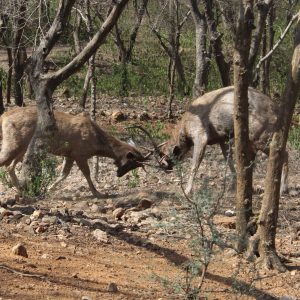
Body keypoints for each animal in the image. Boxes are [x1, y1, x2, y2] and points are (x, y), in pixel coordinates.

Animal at [0, 106, 150, 198]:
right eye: (131, 163)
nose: (119, 174)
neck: (97, 145)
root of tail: (3, 117)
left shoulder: (69, 154)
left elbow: (64, 174)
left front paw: (49, 189)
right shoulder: (80, 154)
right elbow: (87, 174)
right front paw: (97, 193)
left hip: (23, 147)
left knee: (10, 166)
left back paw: (20, 189)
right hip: (14, 142)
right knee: (6, 163)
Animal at [155, 85, 288, 196]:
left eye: (165, 156)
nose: (164, 168)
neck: (184, 129)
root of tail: (275, 108)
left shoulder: (200, 136)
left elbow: (194, 165)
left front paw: (187, 190)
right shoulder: (221, 138)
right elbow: (228, 160)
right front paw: (232, 186)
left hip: (259, 136)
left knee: (283, 153)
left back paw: (283, 188)